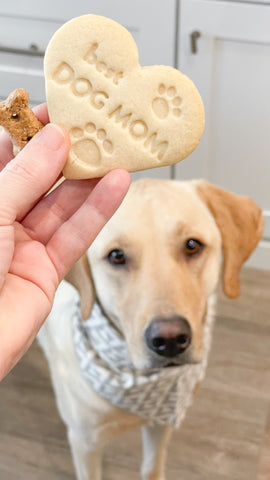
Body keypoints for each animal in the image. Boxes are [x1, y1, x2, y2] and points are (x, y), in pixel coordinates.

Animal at [37, 178, 262, 478]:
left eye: (192, 245)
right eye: (116, 256)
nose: (170, 340)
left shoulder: (162, 422)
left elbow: (152, 467)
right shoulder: (85, 443)